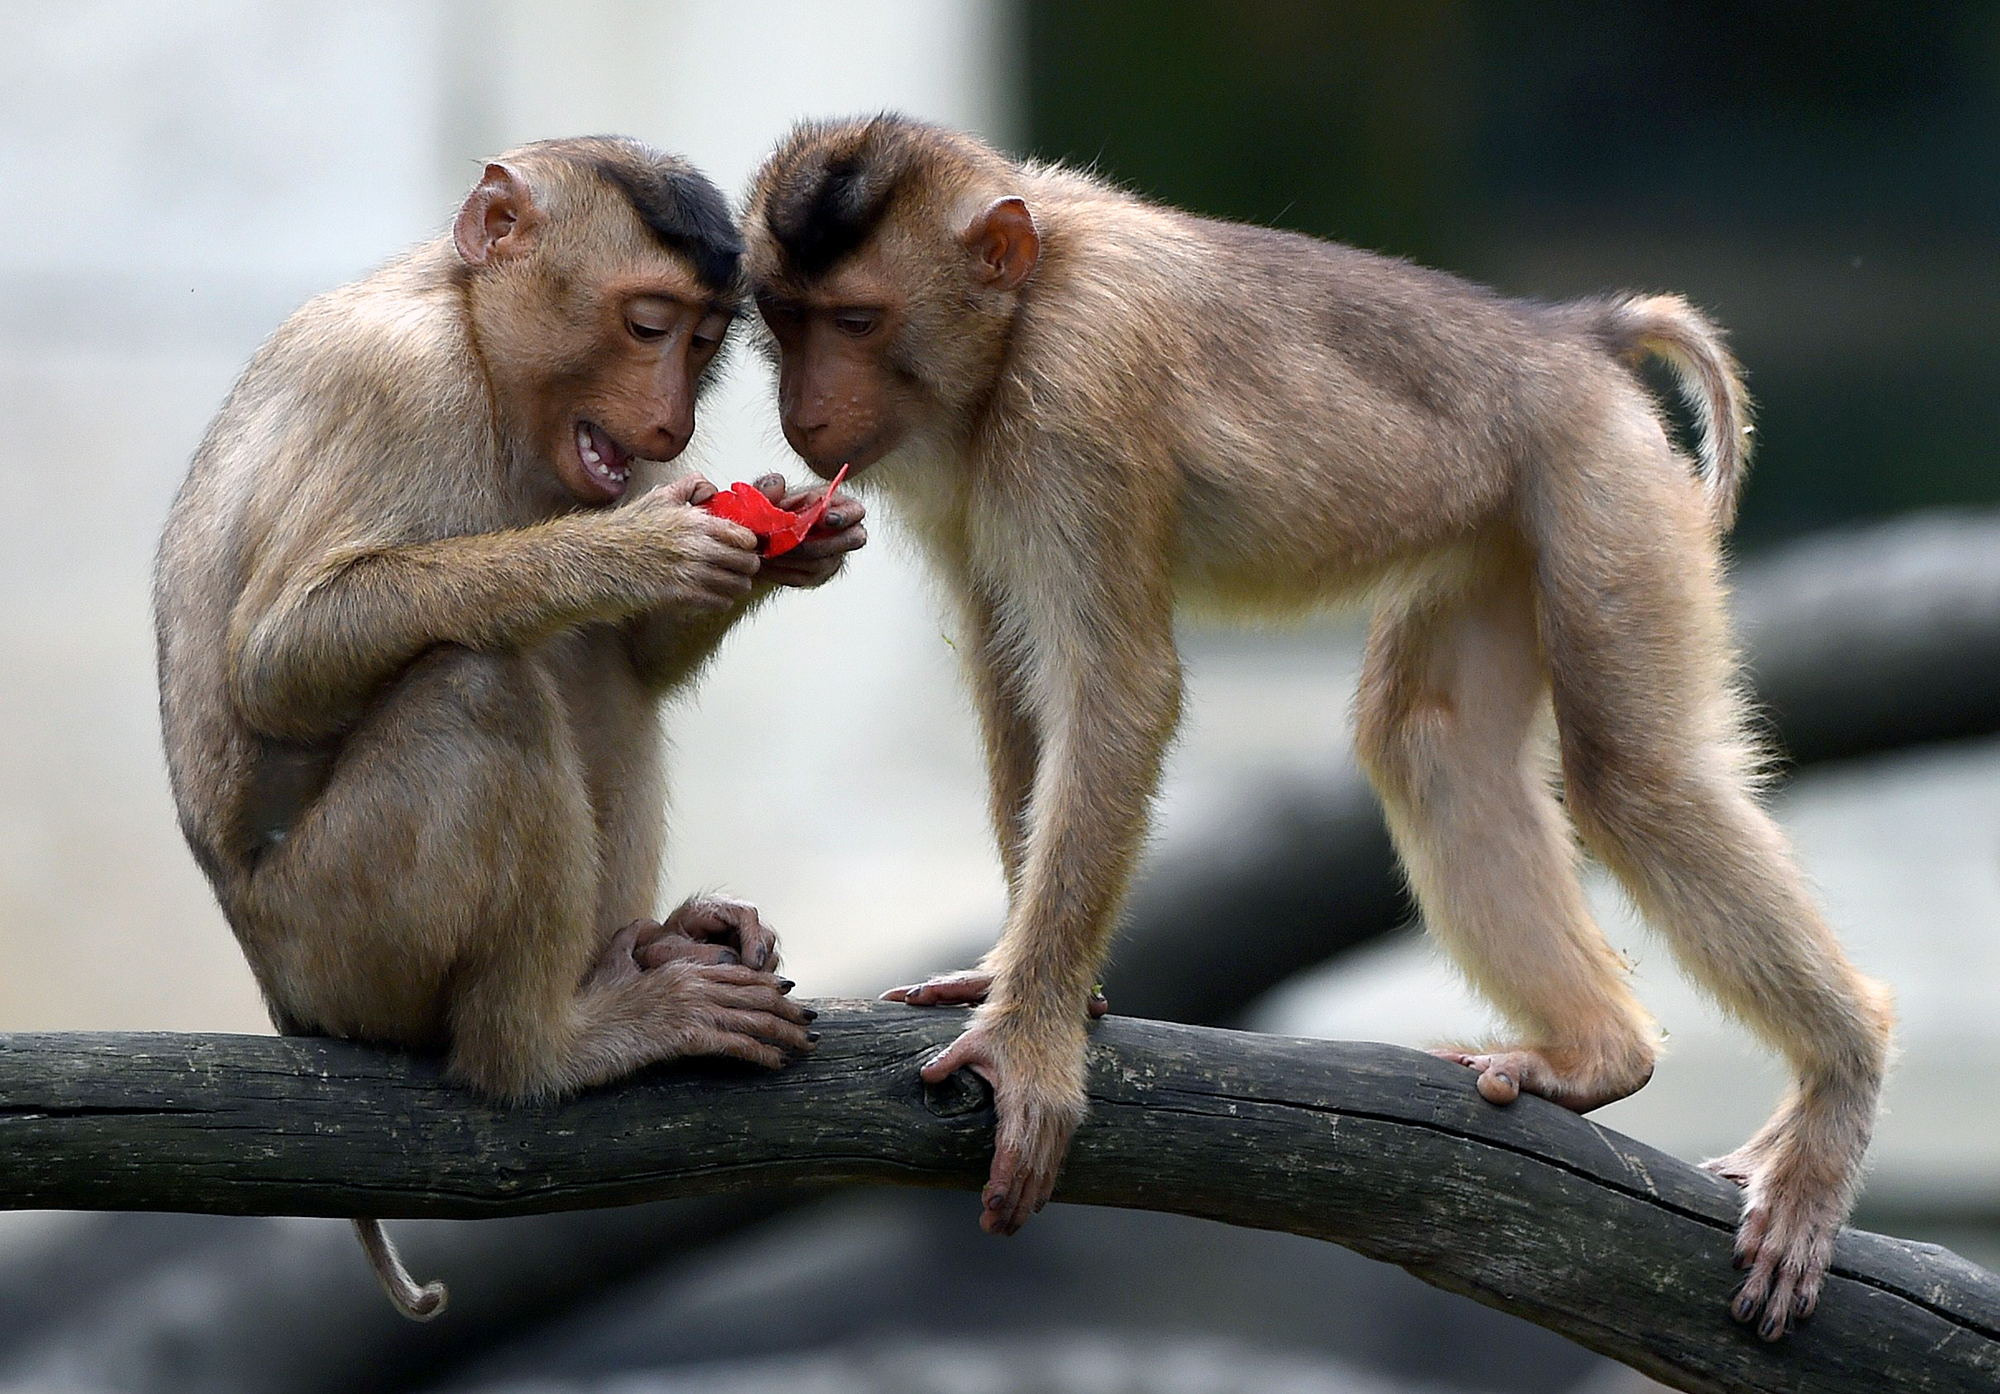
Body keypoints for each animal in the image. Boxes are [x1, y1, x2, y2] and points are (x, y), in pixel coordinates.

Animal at [154, 137, 865, 1318]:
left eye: (705, 342)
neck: (479, 343)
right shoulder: (400, 384)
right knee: (478, 683)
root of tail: (279, 994)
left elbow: (634, 658)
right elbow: (278, 662)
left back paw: (640, 948)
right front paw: (624, 553)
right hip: (339, 939)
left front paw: (790, 527)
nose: (670, 422)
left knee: (589, 667)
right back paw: (545, 1048)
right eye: (647, 325)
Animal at [739, 114, 1893, 1341]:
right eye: (783, 320)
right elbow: (1013, 673)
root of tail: (1570, 332)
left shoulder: (1078, 389)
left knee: (1634, 777)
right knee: (1429, 739)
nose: (803, 413)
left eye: (856, 322)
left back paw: (1841, 1072)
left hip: (1602, 481)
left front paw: (1028, 1041)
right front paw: (1017, 977)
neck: (1017, 316)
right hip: (1502, 522)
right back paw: (1598, 1057)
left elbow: (1116, 690)